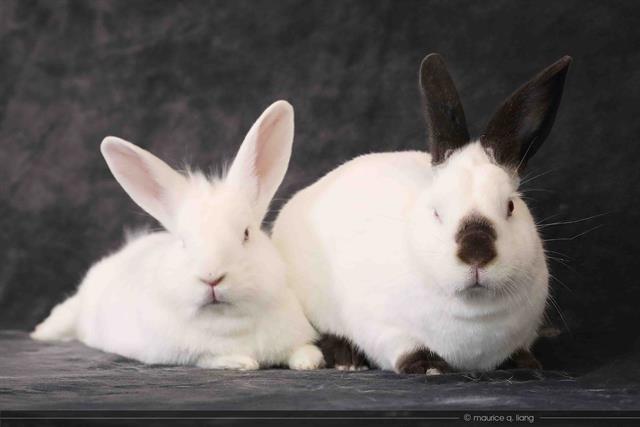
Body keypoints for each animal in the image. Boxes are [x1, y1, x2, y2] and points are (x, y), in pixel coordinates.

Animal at [33, 100, 324, 372]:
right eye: (183, 241)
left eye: (246, 234)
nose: (211, 277)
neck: (229, 322)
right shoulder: (184, 353)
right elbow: (211, 357)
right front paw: (242, 362)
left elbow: (304, 350)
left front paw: (308, 363)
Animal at [272, 54, 572, 374]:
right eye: (437, 211)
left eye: (510, 207)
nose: (477, 253)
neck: (473, 312)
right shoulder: (385, 329)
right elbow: (404, 348)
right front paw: (429, 366)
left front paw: (527, 364)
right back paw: (347, 360)